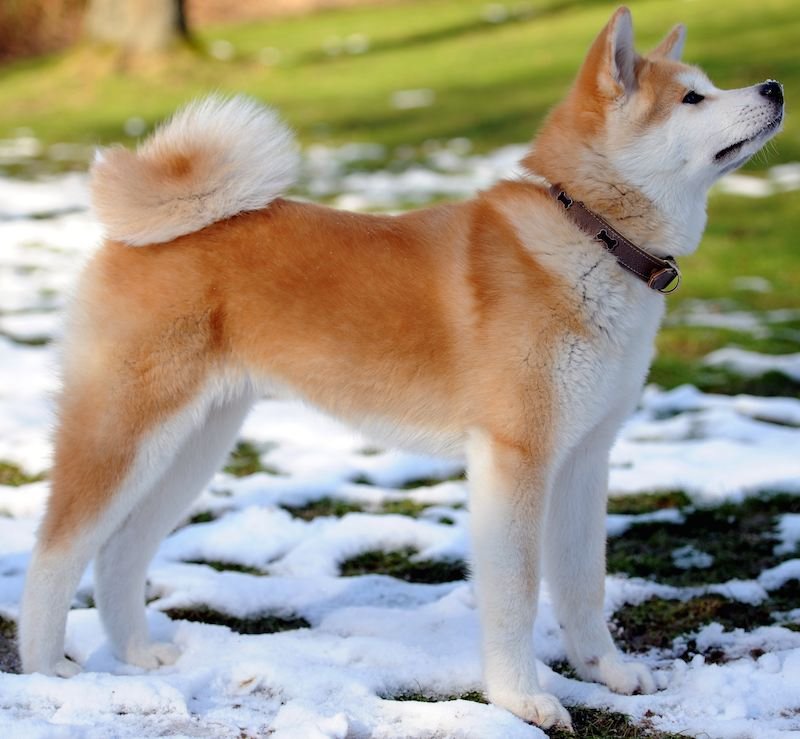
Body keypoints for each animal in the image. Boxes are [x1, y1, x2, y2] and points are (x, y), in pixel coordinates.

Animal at [18, 5, 780, 732]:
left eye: (710, 86)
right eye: (691, 97)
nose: (774, 88)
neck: (590, 235)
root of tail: (137, 232)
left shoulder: (584, 459)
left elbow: (583, 584)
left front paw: (606, 671)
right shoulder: (515, 458)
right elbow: (517, 595)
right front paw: (522, 698)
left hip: (194, 444)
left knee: (120, 552)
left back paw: (137, 654)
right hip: (124, 432)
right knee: (55, 552)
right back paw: (45, 669)